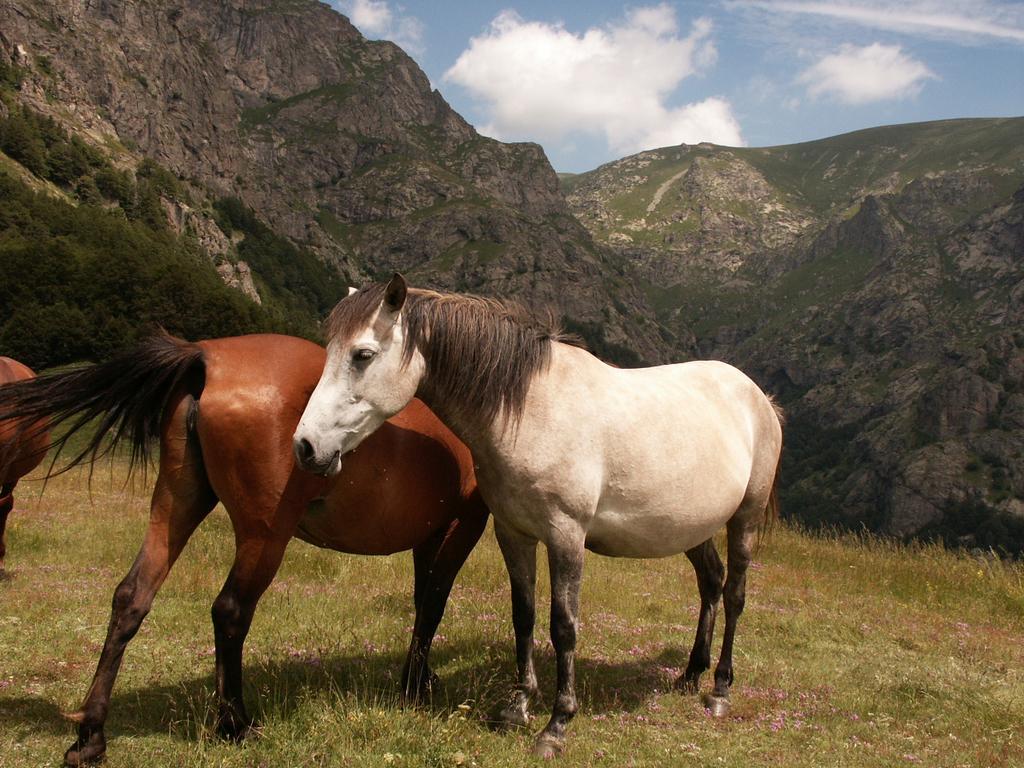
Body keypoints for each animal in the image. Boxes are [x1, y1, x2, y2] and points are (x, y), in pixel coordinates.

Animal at [0, 335, 489, 768]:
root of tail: (208, 357)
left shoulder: (431, 534)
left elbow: (422, 601)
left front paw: (420, 678)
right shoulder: (464, 525)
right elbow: (433, 605)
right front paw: (414, 687)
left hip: (176, 505)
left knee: (131, 598)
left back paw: (90, 738)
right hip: (264, 537)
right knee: (230, 611)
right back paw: (234, 723)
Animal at [294, 274, 782, 757]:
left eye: (362, 354)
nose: (306, 447)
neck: (530, 409)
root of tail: (761, 398)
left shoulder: (566, 536)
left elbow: (563, 625)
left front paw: (557, 724)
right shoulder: (513, 533)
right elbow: (523, 615)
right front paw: (518, 705)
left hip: (745, 518)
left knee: (735, 594)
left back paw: (719, 689)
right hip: (690, 529)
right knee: (711, 583)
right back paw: (691, 674)